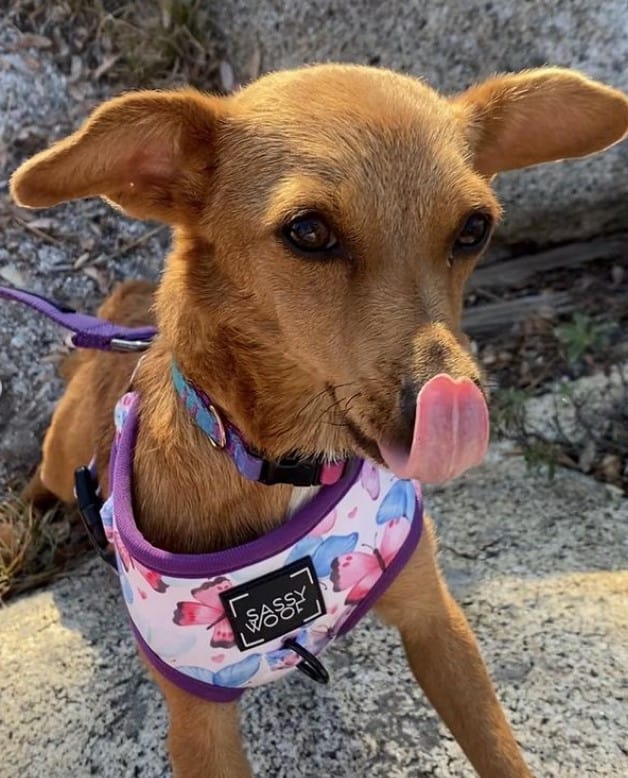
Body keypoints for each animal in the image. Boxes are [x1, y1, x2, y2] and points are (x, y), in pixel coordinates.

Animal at [9, 63, 628, 772]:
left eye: (474, 229)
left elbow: (498, 749)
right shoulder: (198, 727)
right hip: (63, 452)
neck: (282, 466)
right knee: (44, 477)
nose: (453, 412)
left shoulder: (437, 623)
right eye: (308, 232)